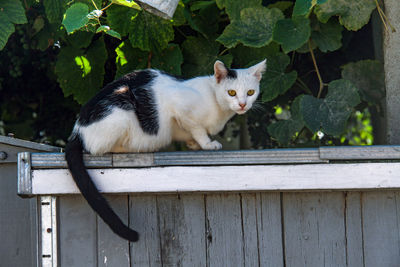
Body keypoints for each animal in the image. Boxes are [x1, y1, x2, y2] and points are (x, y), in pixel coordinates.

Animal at [65, 60, 266, 243]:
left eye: (250, 92)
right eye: (231, 92)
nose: (242, 104)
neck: (216, 103)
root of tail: (77, 129)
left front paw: (193, 144)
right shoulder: (178, 104)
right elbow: (197, 128)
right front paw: (207, 143)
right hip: (121, 107)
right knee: (98, 148)